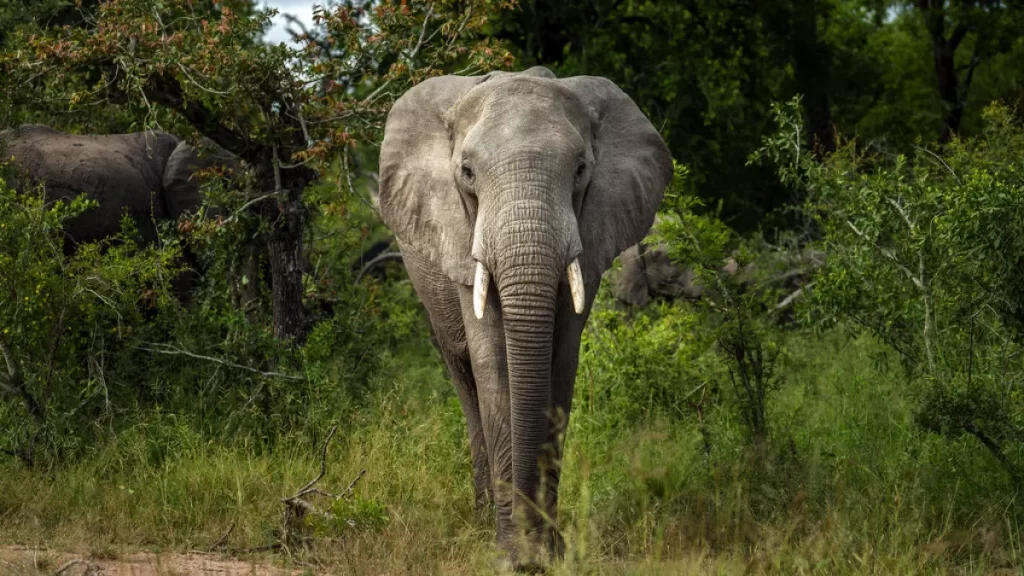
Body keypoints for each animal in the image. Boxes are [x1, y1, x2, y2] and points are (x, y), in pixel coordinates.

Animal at [378, 66, 673, 565]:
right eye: (467, 173)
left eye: (580, 170)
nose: (530, 551)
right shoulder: (460, 237)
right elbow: (493, 363)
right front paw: (512, 555)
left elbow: (561, 362)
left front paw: (549, 553)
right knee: (464, 380)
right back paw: (480, 519)